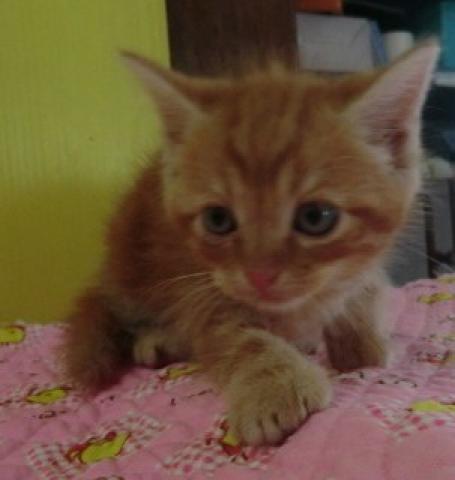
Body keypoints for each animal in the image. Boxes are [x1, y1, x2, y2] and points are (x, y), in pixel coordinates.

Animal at [64, 42, 439, 446]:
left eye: (316, 217)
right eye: (217, 219)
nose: (260, 275)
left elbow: (363, 295)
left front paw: (364, 341)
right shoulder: (199, 285)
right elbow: (237, 336)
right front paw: (277, 386)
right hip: (131, 265)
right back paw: (159, 340)